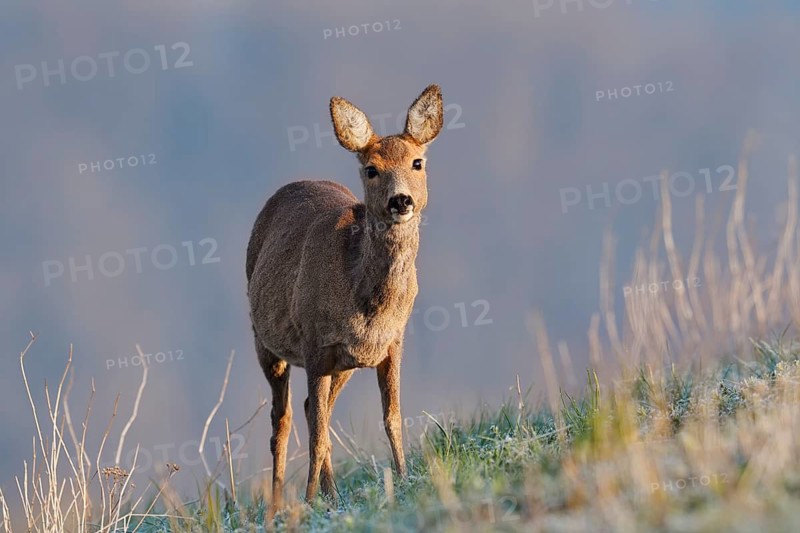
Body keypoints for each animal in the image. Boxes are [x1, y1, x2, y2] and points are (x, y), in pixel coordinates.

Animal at [246, 85, 444, 514]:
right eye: (371, 169)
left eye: (417, 162)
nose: (401, 201)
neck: (368, 305)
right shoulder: (314, 344)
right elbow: (317, 433)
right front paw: (306, 501)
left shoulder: (392, 342)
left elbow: (392, 417)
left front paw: (405, 478)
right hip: (264, 339)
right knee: (283, 419)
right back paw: (279, 504)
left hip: (345, 364)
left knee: (309, 410)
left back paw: (332, 494)